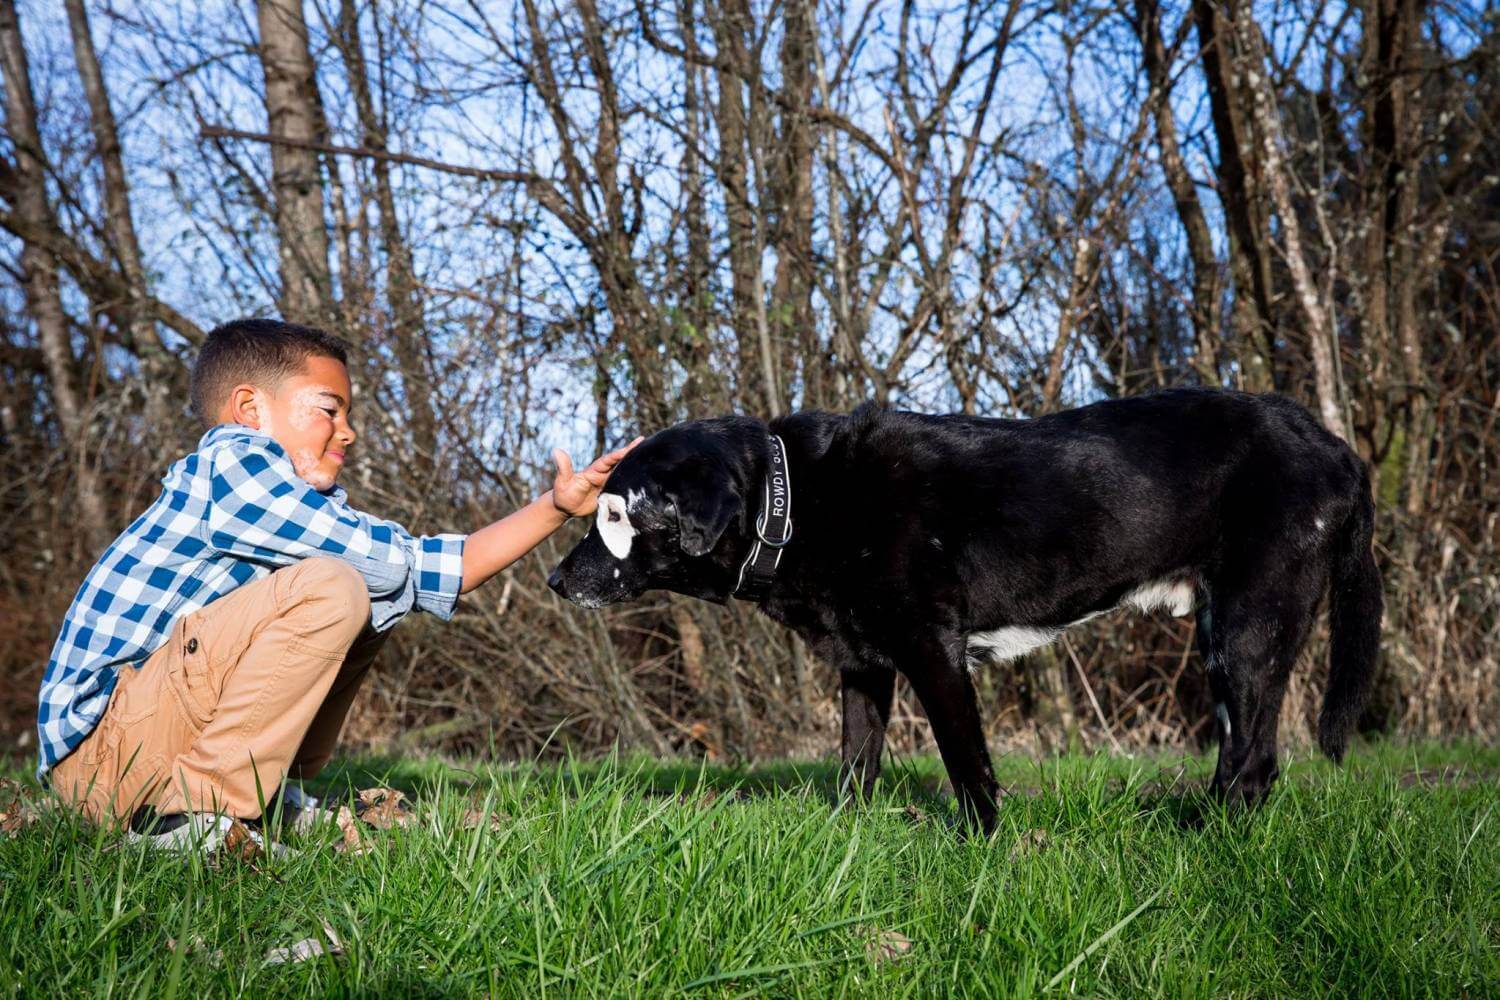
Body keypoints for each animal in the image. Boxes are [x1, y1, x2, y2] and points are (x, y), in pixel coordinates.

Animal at [552, 386, 1380, 833]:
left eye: (617, 514)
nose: (558, 581)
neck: (794, 502)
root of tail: (1335, 448)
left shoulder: (935, 652)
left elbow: (968, 767)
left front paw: (982, 851)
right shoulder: (864, 665)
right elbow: (855, 766)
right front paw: (844, 843)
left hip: (1249, 627)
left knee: (1256, 763)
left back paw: (1204, 842)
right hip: (1227, 639)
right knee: (1242, 756)